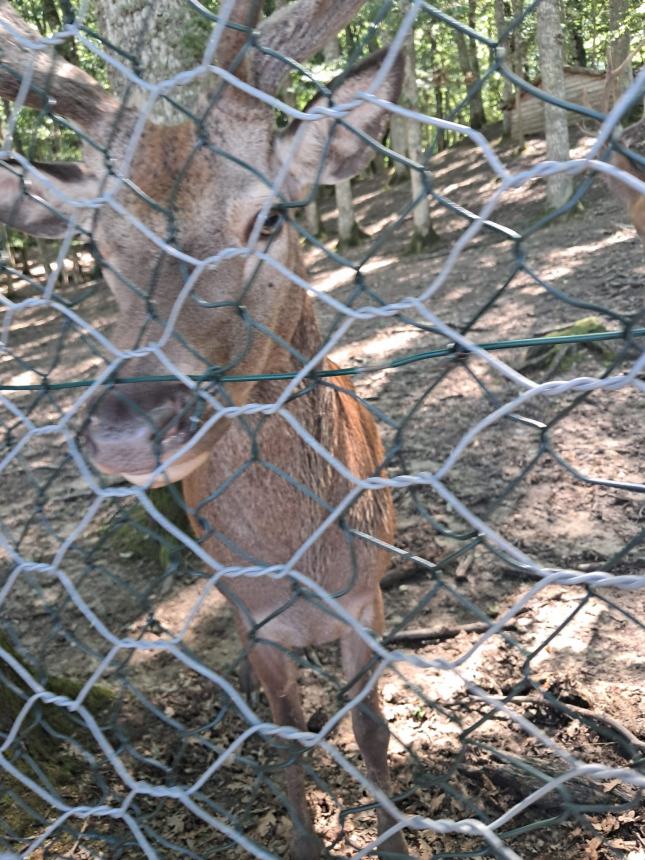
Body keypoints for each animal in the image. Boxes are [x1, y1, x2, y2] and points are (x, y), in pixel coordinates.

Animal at [0, 3, 410, 856]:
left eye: (271, 216)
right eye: (97, 246)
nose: (131, 423)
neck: (302, 565)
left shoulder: (362, 605)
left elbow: (372, 732)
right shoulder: (256, 623)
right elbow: (285, 742)